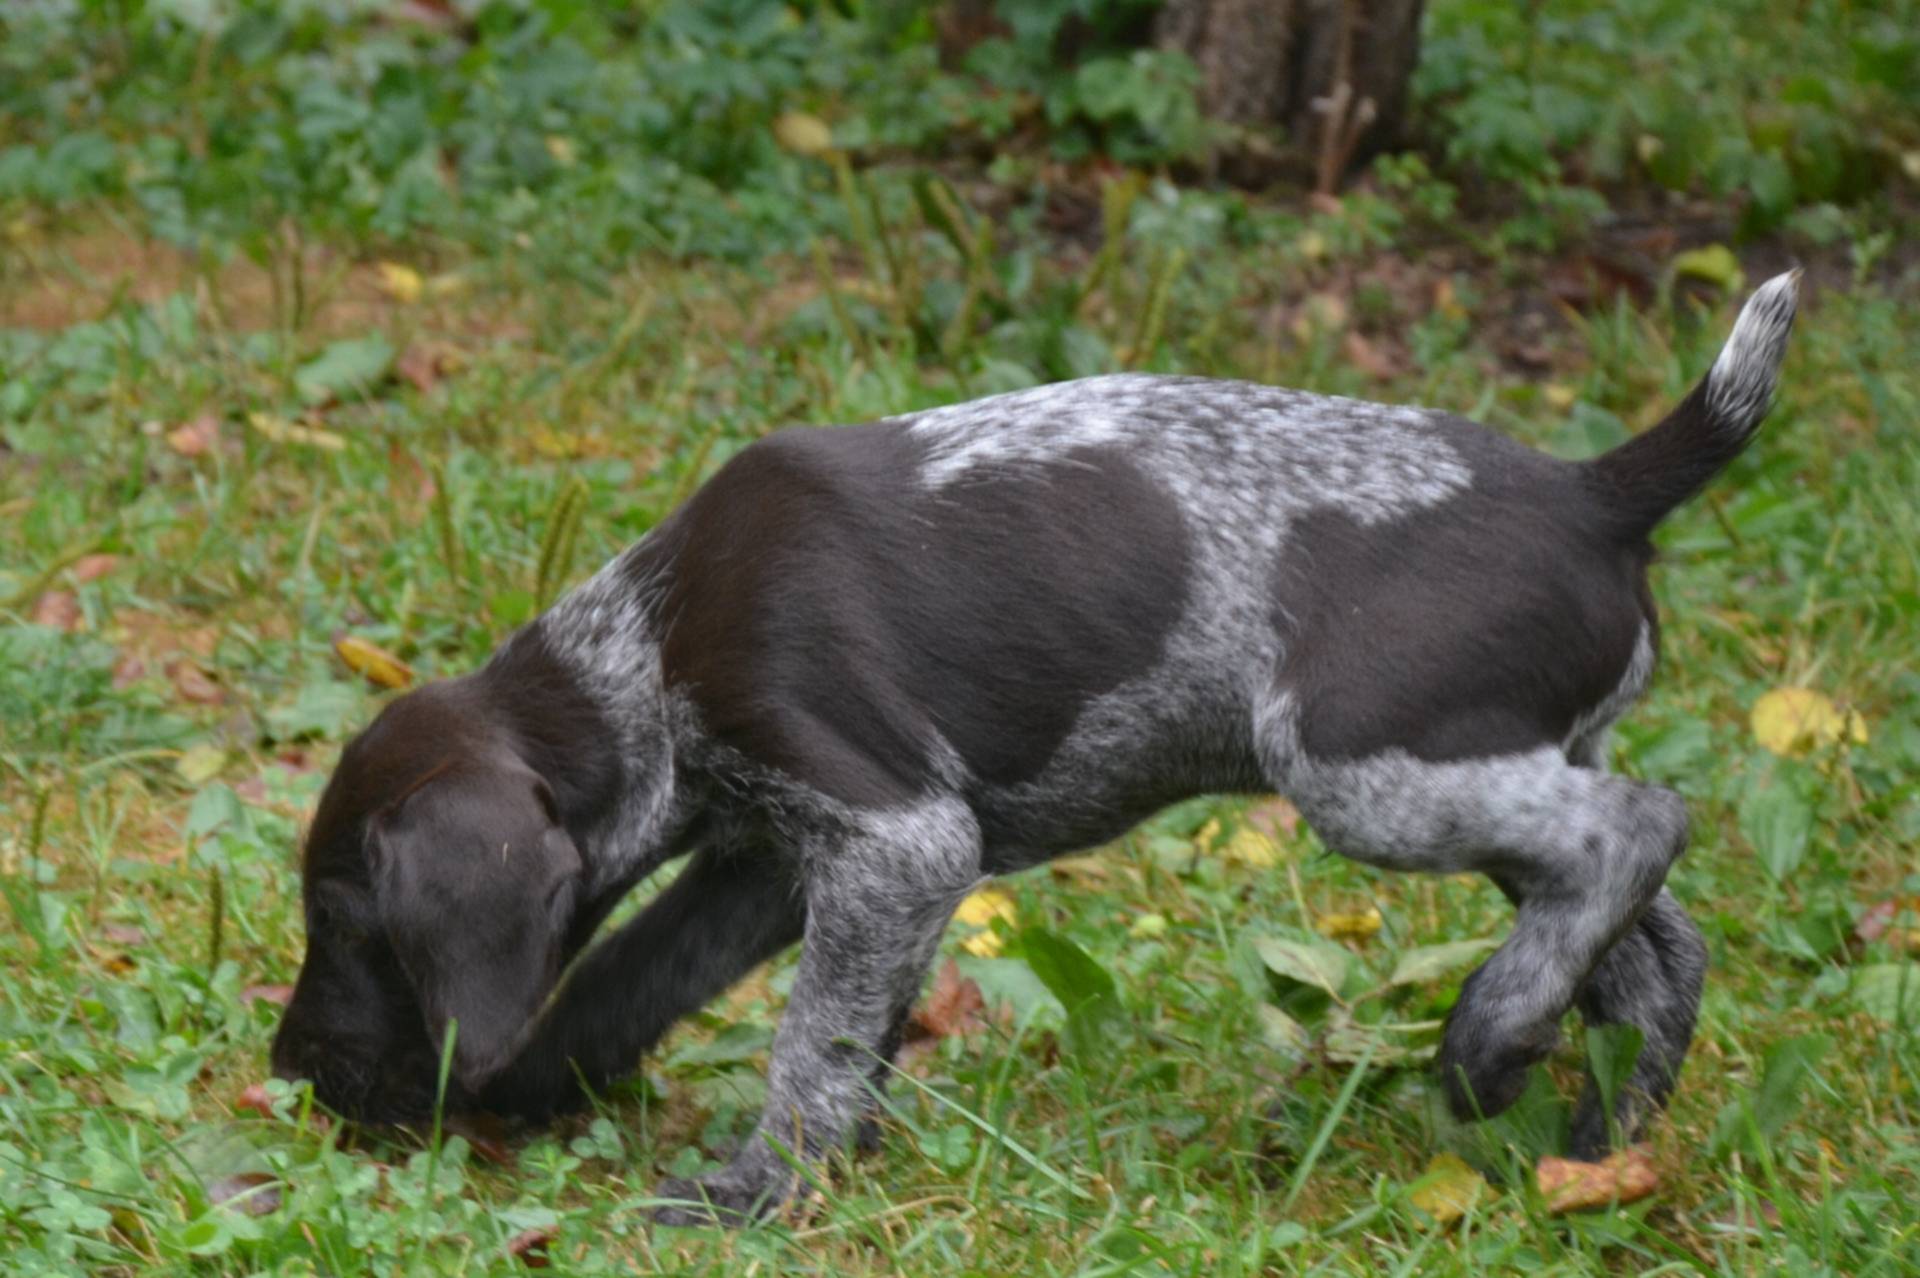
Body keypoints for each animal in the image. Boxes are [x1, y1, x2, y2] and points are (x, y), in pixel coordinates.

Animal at [270, 266, 1797, 1212]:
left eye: (348, 922)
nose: (287, 1069)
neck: (645, 651)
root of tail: (1596, 492)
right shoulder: (772, 860)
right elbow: (642, 978)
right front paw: (547, 1085)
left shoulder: (893, 836)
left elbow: (813, 1042)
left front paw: (760, 1189)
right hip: (1484, 761)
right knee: (1653, 945)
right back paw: (1600, 1141)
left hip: (1366, 761)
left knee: (1635, 834)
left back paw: (1493, 1032)